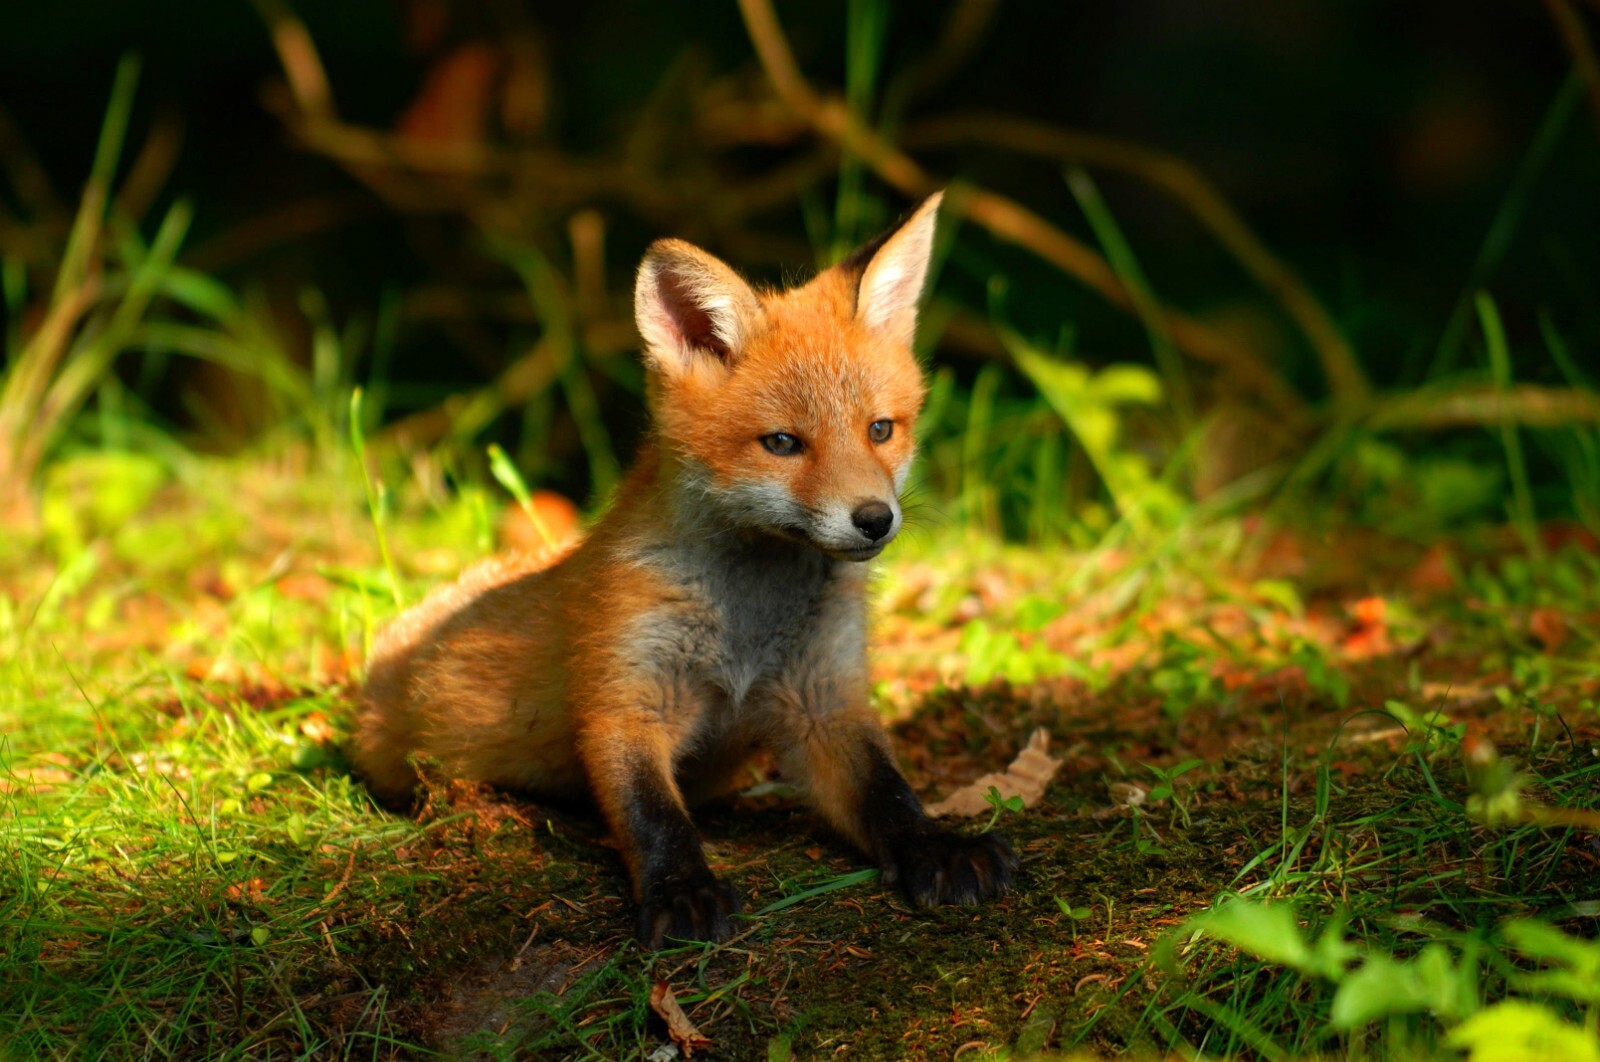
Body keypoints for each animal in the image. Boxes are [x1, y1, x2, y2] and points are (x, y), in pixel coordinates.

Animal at [353, 192, 1017, 948]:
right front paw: (682, 891)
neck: (748, 618)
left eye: (881, 430)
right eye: (782, 443)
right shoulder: (627, 696)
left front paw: (938, 846)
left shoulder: (824, 700)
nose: (875, 519)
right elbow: (654, 815)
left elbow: (889, 792)